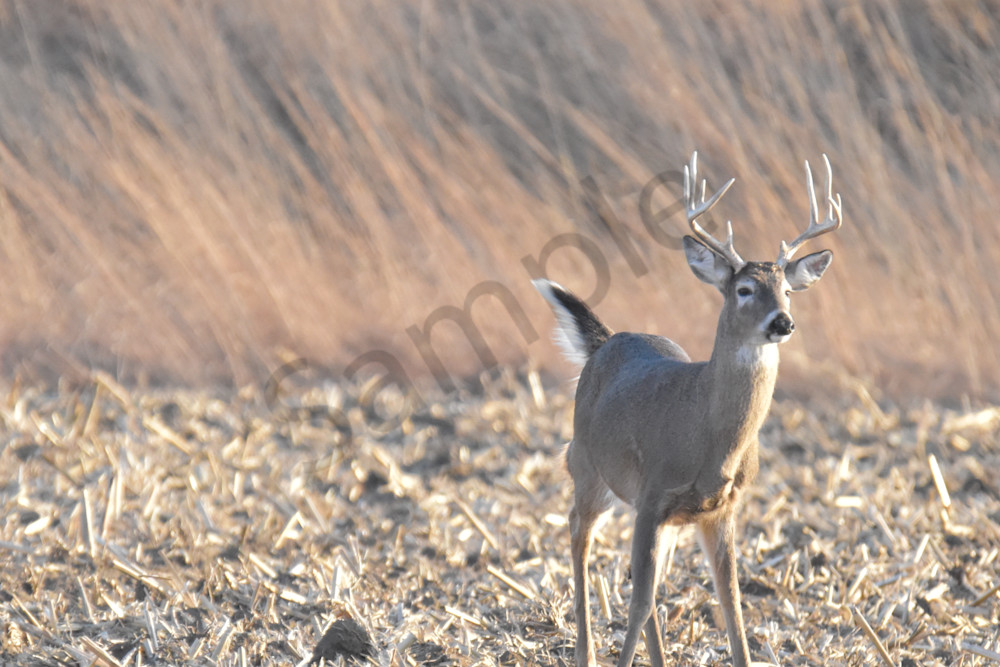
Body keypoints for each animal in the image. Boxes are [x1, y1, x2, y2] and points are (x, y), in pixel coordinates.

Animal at [533, 151, 842, 667]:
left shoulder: (721, 509)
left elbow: (732, 606)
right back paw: (585, 652)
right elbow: (639, 604)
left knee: (644, 579)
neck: (712, 440)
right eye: (743, 289)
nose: (783, 322)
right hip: (588, 467)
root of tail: (607, 339)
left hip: (662, 516)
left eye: (788, 290)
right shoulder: (653, 494)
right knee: (579, 533)